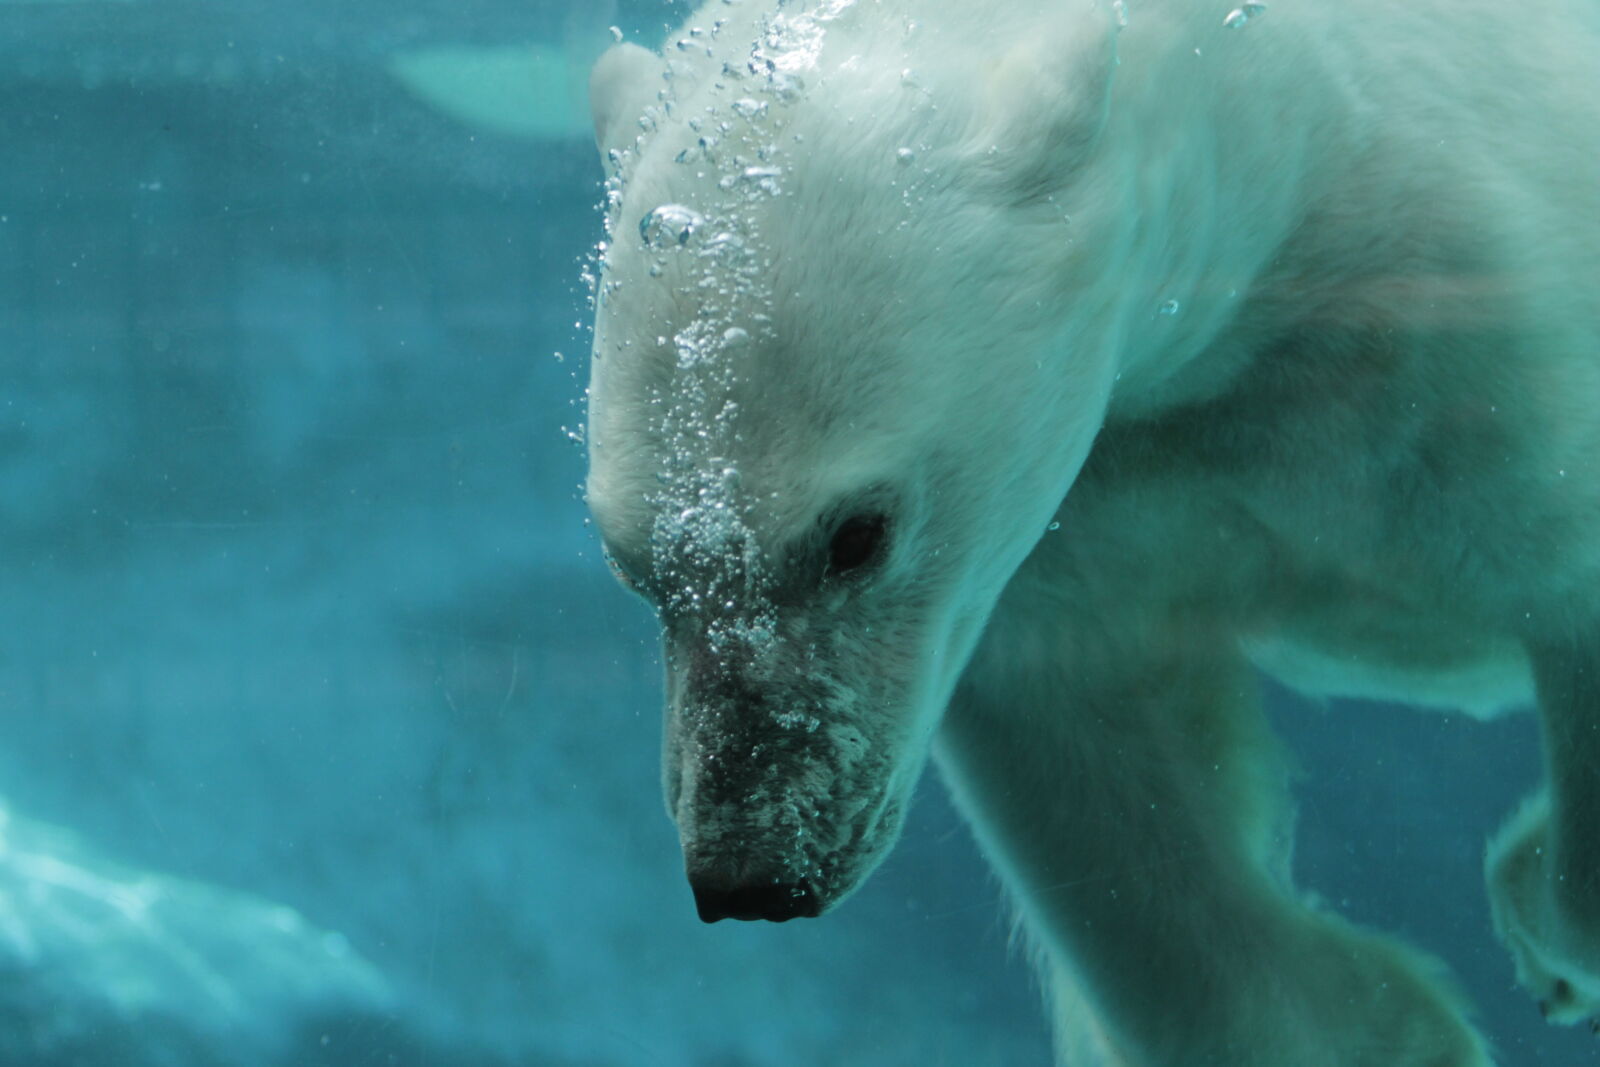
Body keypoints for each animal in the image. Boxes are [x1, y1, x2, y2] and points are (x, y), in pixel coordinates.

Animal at [581, 0, 1600, 1062]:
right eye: (632, 563)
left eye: (855, 534)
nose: (748, 870)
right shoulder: (1089, 496)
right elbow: (1099, 774)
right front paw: (1390, 1026)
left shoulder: (1457, 341)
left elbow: (1567, 592)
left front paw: (1538, 921)